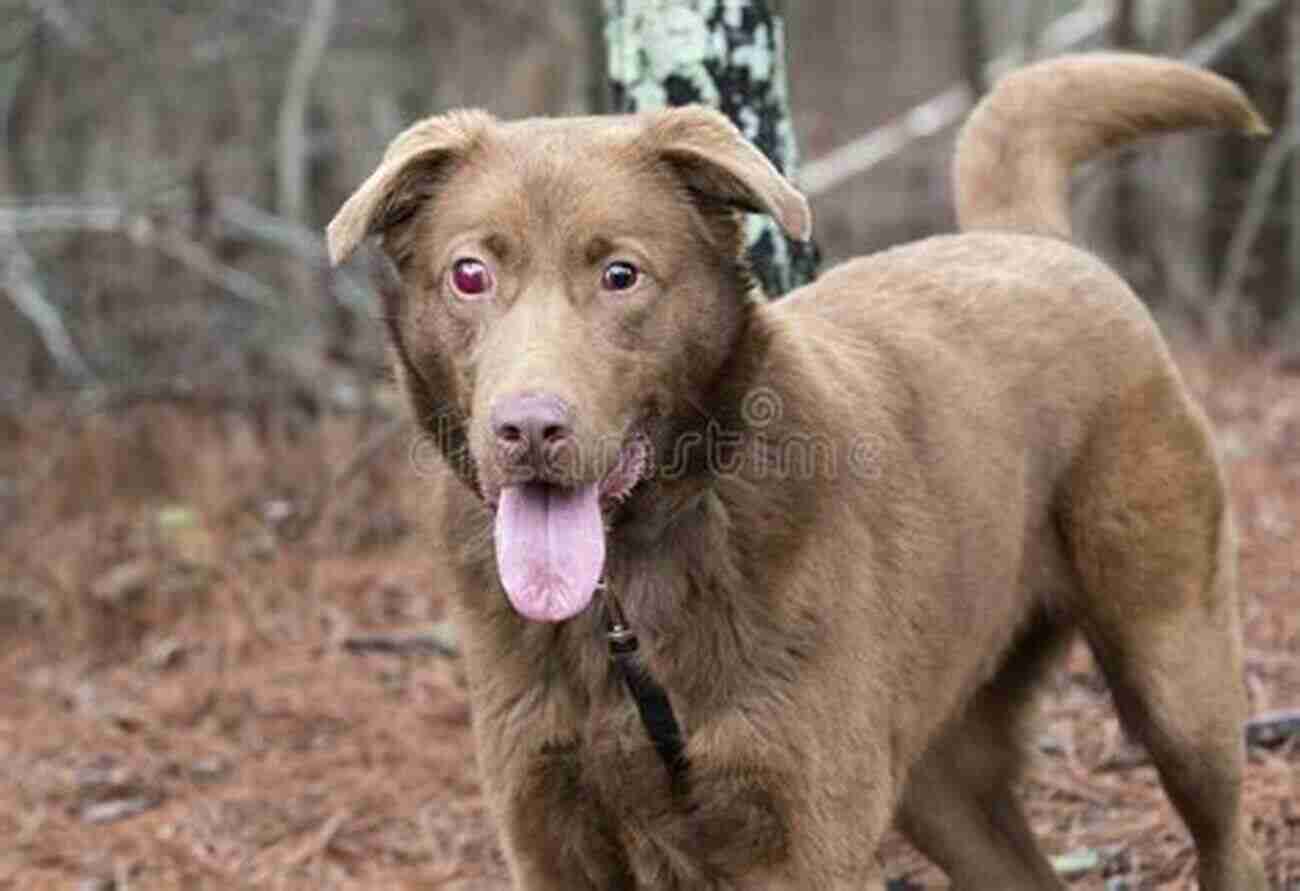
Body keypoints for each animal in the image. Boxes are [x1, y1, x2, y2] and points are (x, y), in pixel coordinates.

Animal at [327, 53, 1268, 889]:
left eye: (621, 274)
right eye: (470, 274)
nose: (528, 426)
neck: (622, 596)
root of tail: (1027, 237)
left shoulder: (802, 837)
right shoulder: (549, 835)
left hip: (1175, 669)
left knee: (1227, 830)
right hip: (939, 771)